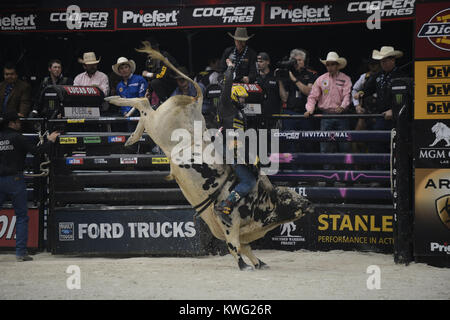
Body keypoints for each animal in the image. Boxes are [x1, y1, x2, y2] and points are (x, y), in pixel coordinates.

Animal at [105, 41, 312, 268]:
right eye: (288, 195)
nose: (308, 203)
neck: (262, 200)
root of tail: (195, 102)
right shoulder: (229, 223)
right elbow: (234, 246)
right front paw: (244, 266)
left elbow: (246, 247)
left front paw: (259, 263)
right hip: (159, 126)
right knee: (143, 104)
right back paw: (116, 103)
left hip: (158, 127)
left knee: (144, 106)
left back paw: (131, 134)